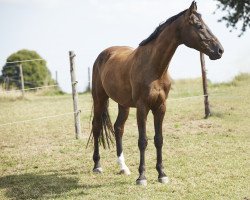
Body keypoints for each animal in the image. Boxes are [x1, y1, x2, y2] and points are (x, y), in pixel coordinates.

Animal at [89, 1, 224, 186]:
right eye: (198, 25)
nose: (219, 50)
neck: (153, 68)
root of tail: (103, 55)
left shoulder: (160, 107)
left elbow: (159, 140)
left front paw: (162, 174)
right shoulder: (142, 107)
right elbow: (143, 141)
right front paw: (142, 177)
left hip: (123, 104)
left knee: (118, 128)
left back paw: (123, 167)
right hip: (99, 99)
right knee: (96, 127)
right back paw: (97, 166)